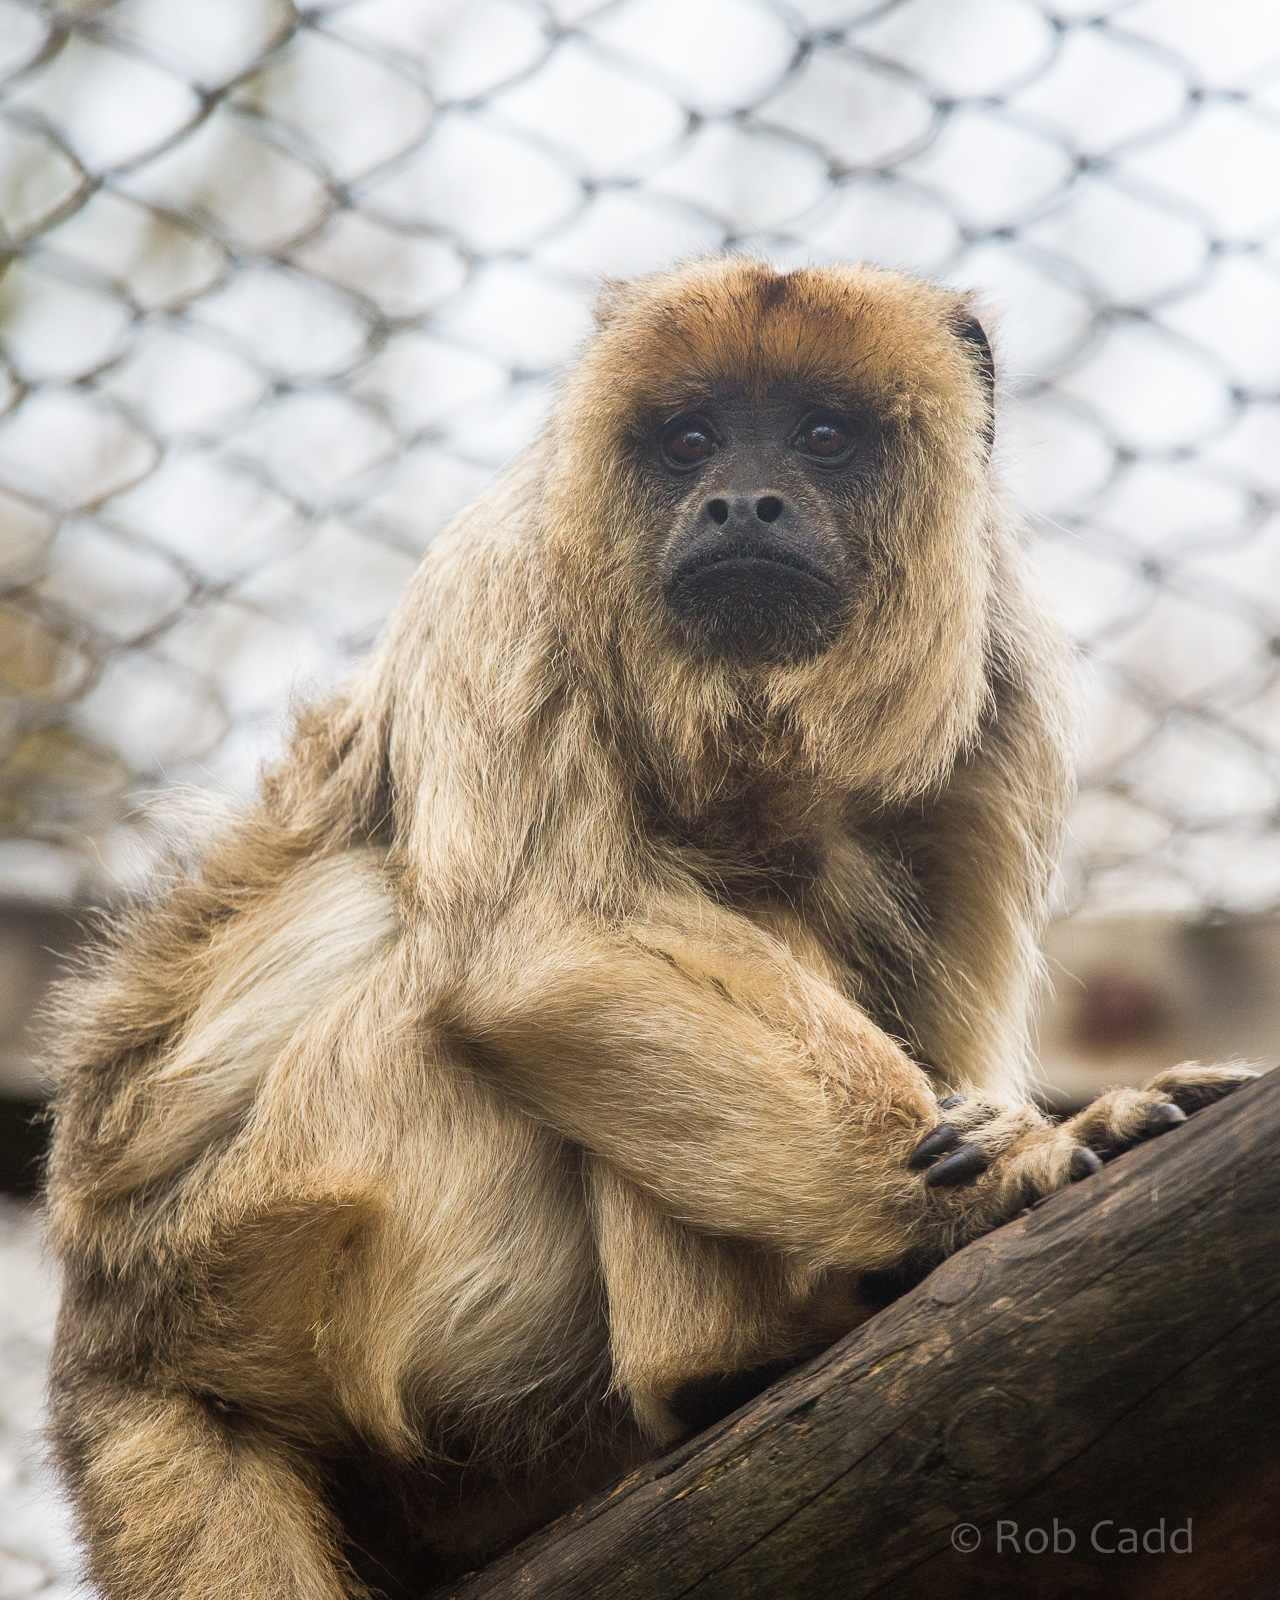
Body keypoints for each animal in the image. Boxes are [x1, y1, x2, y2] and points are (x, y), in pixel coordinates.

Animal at [42, 258, 1256, 1600]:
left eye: (821, 437)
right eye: (688, 443)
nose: (740, 502)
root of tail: (109, 1329)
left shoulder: (1004, 677)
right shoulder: (502, 579)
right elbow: (541, 948)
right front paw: (996, 1176)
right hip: (295, 1222)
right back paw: (717, 1360)